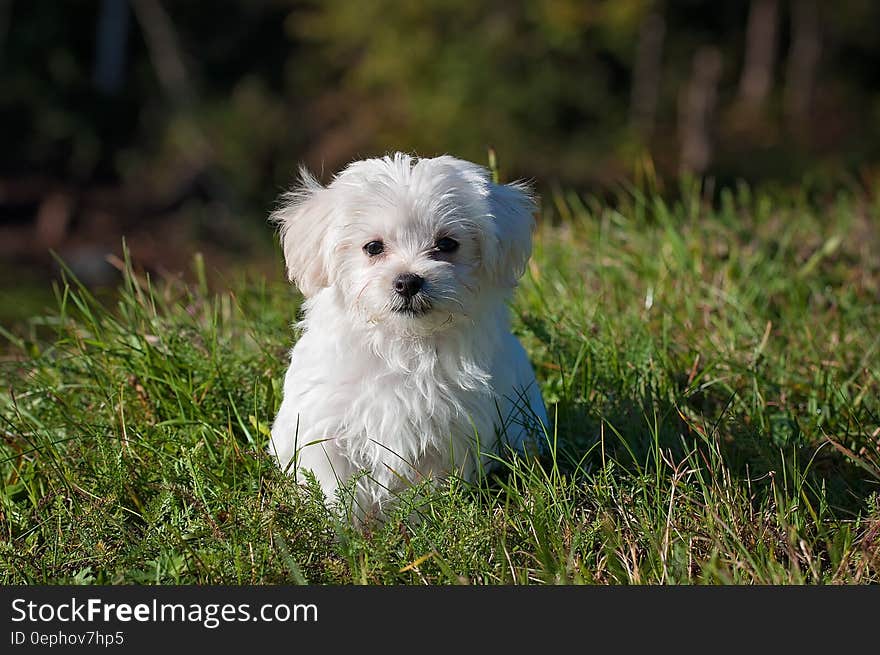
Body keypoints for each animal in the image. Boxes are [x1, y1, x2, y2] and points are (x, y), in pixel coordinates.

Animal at [270, 152, 544, 516]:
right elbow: (335, 487)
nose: (408, 281)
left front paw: (421, 519)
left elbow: (427, 488)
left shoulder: (447, 434)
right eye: (373, 247)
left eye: (447, 244)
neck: (403, 343)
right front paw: (342, 525)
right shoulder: (326, 427)